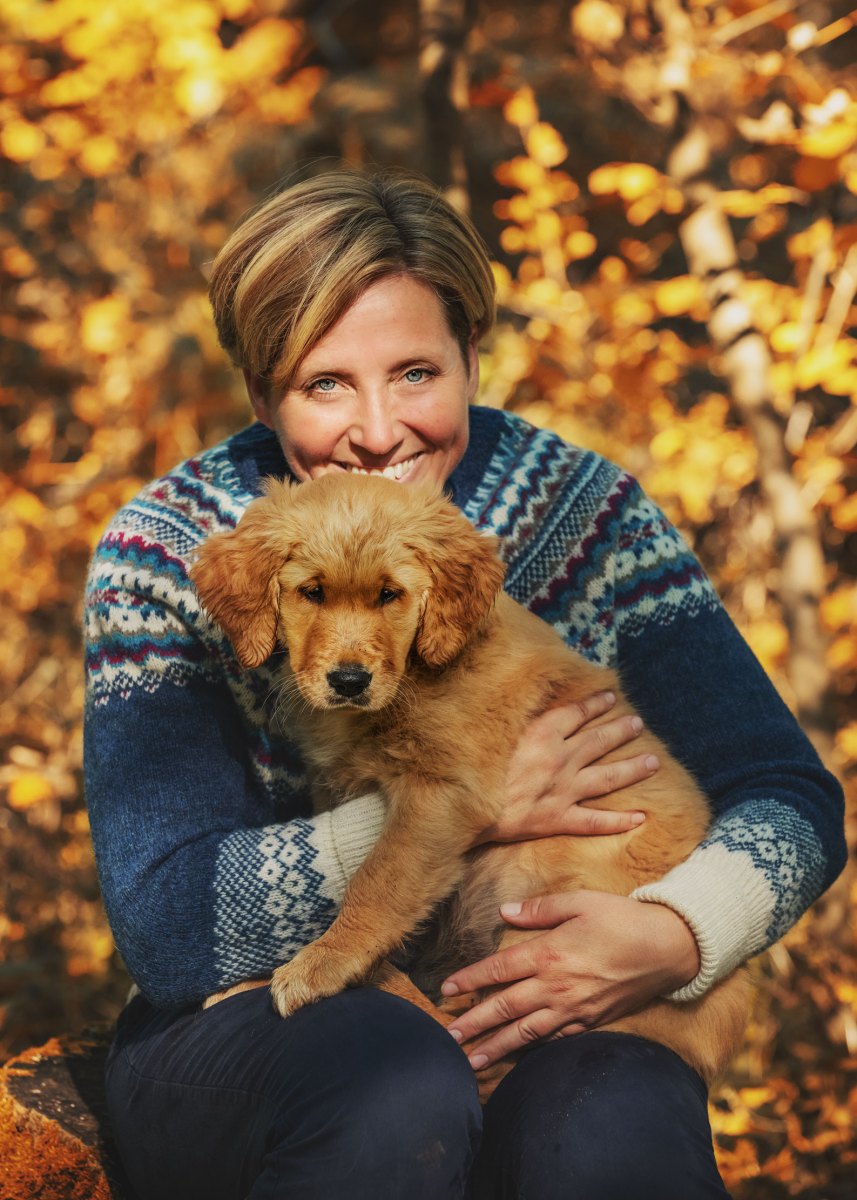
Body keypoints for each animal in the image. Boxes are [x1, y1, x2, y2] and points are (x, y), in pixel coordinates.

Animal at [191, 471, 749, 1089]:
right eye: (311, 593)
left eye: (390, 595)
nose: (349, 680)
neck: (413, 677)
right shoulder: (335, 781)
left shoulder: (445, 791)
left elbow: (378, 881)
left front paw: (325, 961)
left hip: (552, 916)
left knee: (474, 1045)